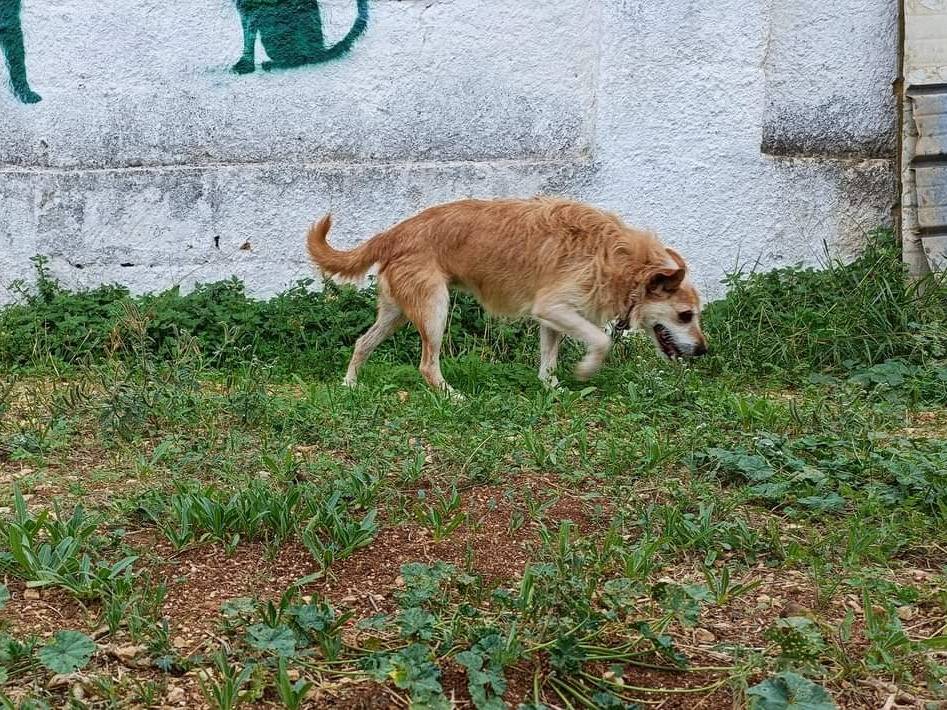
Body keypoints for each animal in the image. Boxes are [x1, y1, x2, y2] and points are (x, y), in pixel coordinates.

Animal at [308, 196, 708, 394]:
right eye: (685, 315)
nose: (704, 351)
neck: (621, 259)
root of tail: (394, 232)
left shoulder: (553, 317)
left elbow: (548, 362)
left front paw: (552, 389)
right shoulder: (554, 307)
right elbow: (601, 341)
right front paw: (586, 369)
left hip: (397, 313)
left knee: (361, 343)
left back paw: (349, 385)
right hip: (435, 309)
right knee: (426, 365)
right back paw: (452, 396)